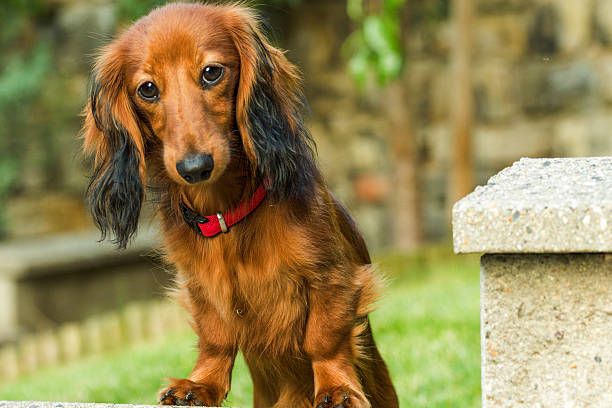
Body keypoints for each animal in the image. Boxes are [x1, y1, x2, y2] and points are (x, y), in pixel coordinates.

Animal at [81, 3, 400, 408]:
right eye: (148, 89)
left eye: (212, 72)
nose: (195, 167)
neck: (226, 213)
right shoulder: (200, 286)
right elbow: (216, 338)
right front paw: (200, 385)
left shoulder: (331, 275)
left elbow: (323, 337)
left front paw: (336, 388)